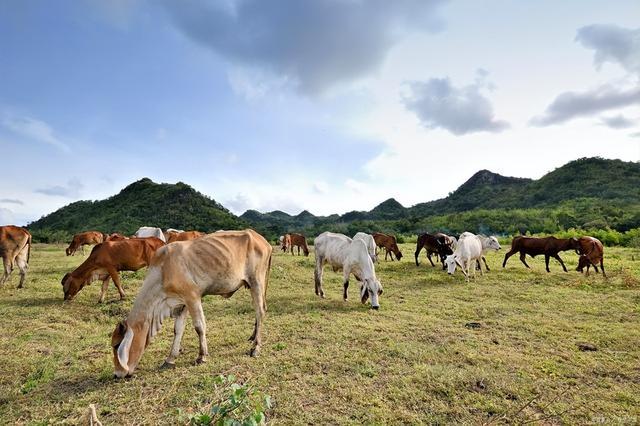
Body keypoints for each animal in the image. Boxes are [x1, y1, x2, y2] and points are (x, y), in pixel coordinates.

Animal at [111, 231, 272, 378]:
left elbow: (199, 327)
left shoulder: (193, 297)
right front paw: (170, 359)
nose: (117, 374)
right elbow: (178, 330)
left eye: (117, 345)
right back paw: (253, 337)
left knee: (260, 311)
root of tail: (261, 239)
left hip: (256, 281)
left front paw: (202, 356)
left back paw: (256, 347)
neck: (163, 270)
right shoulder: (182, 304)